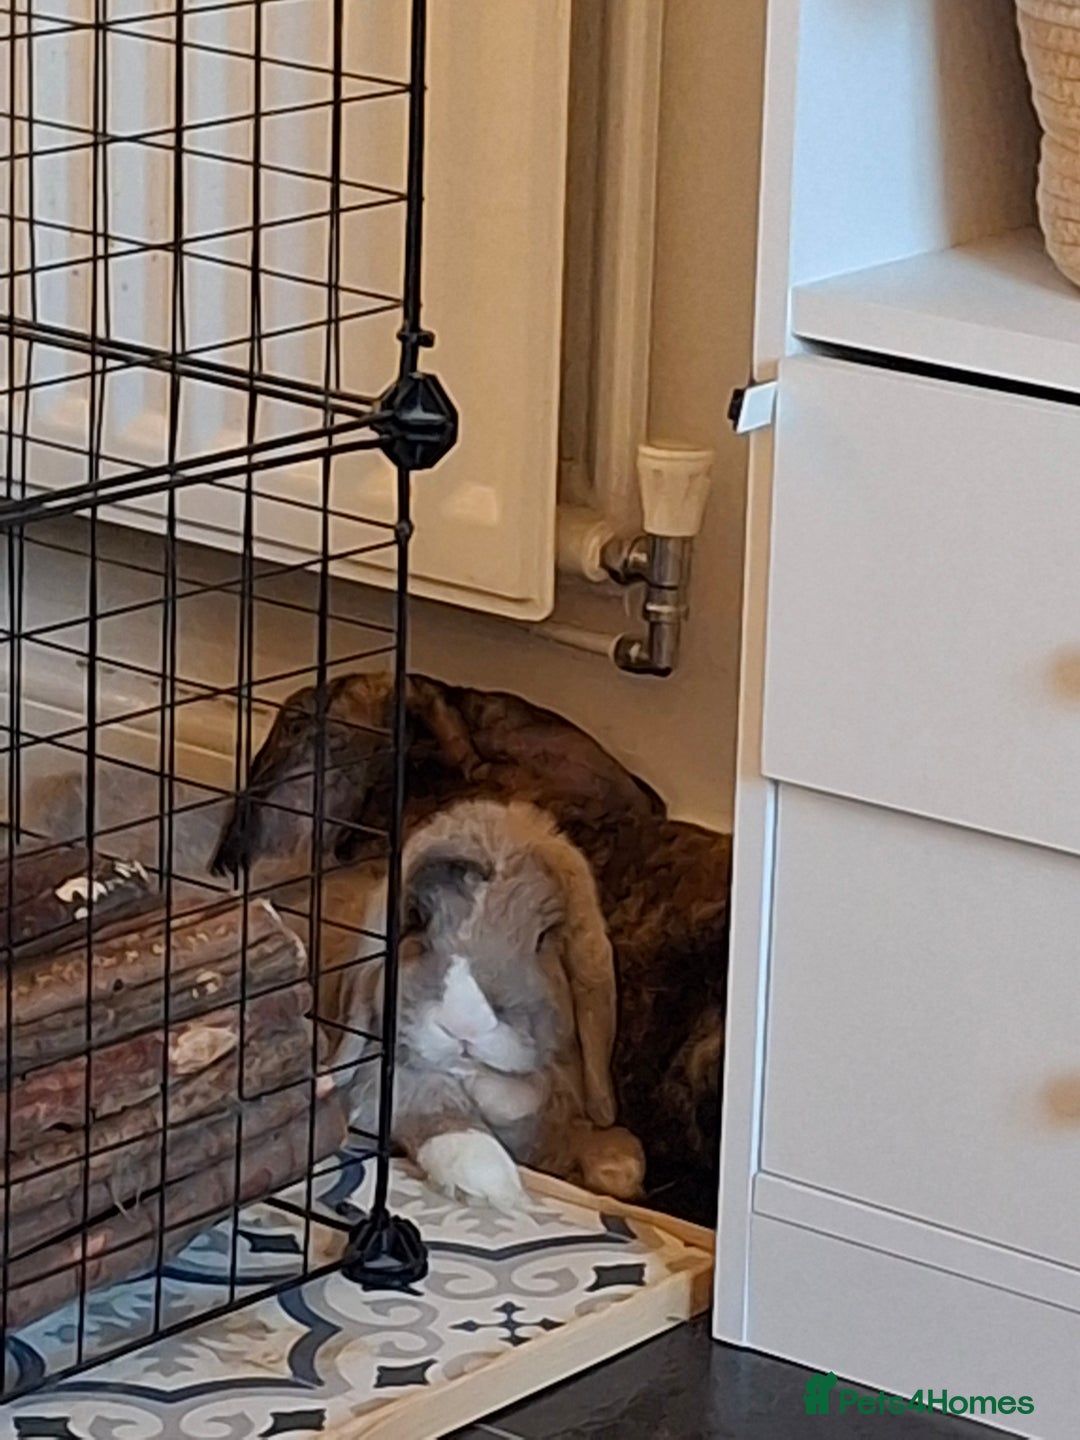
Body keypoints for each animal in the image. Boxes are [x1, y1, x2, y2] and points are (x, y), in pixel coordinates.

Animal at [333, 798, 646, 1211]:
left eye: (544, 938)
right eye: (417, 920)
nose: (464, 1024)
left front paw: (618, 1164)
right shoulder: (385, 1085)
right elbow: (428, 1094)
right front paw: (484, 1175)